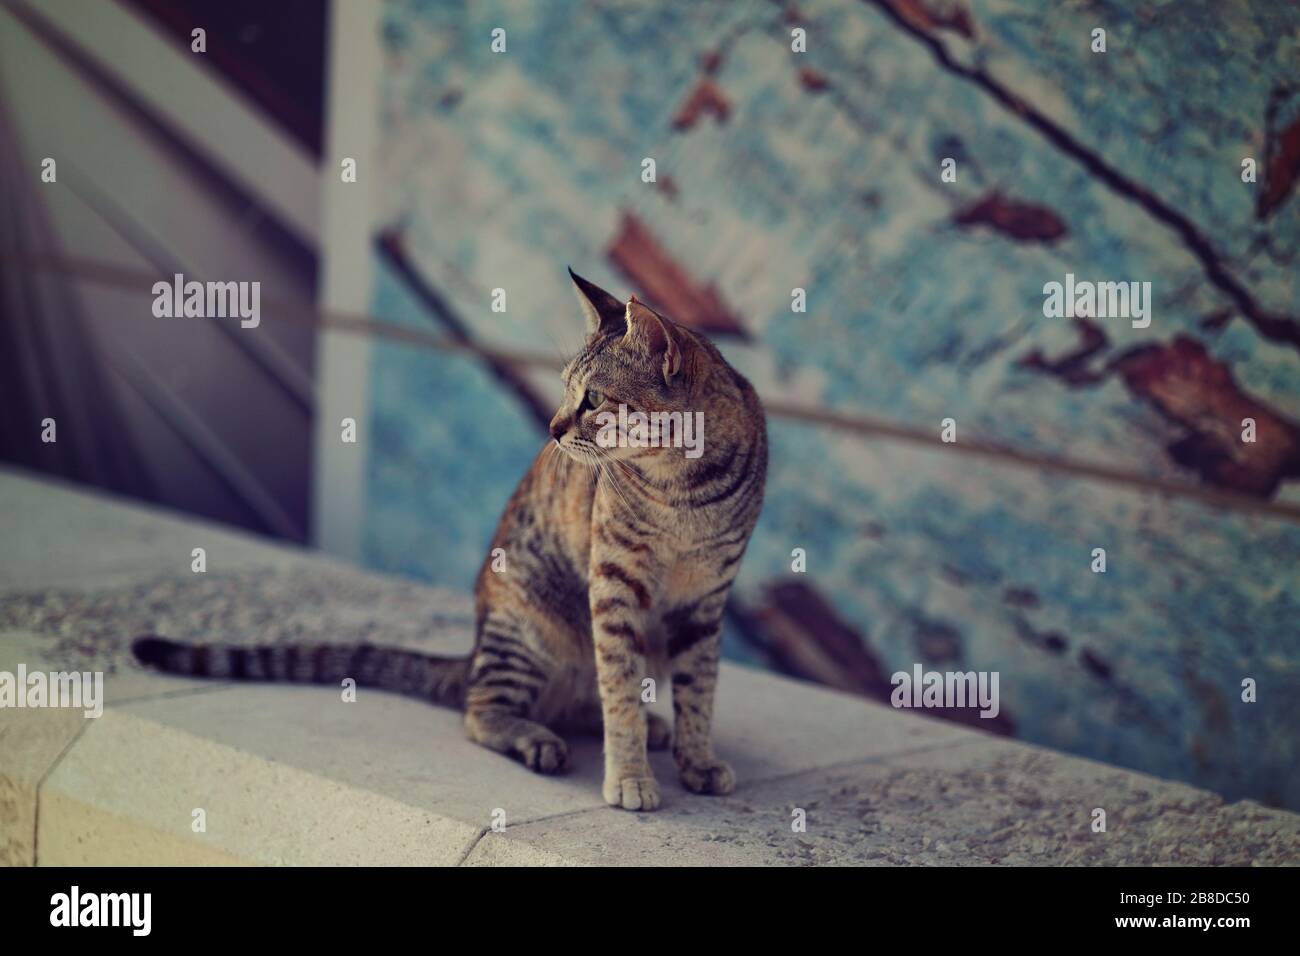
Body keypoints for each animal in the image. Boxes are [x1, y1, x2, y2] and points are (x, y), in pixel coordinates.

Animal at [137, 270, 764, 816]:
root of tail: (473, 647)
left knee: (575, 701)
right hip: (527, 628)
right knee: (482, 709)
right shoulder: (613, 588)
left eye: (593, 400)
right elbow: (622, 696)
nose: (552, 428)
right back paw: (537, 738)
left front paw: (696, 761)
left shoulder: (707, 602)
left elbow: (698, 692)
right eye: (565, 391)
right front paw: (631, 778)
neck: (683, 491)